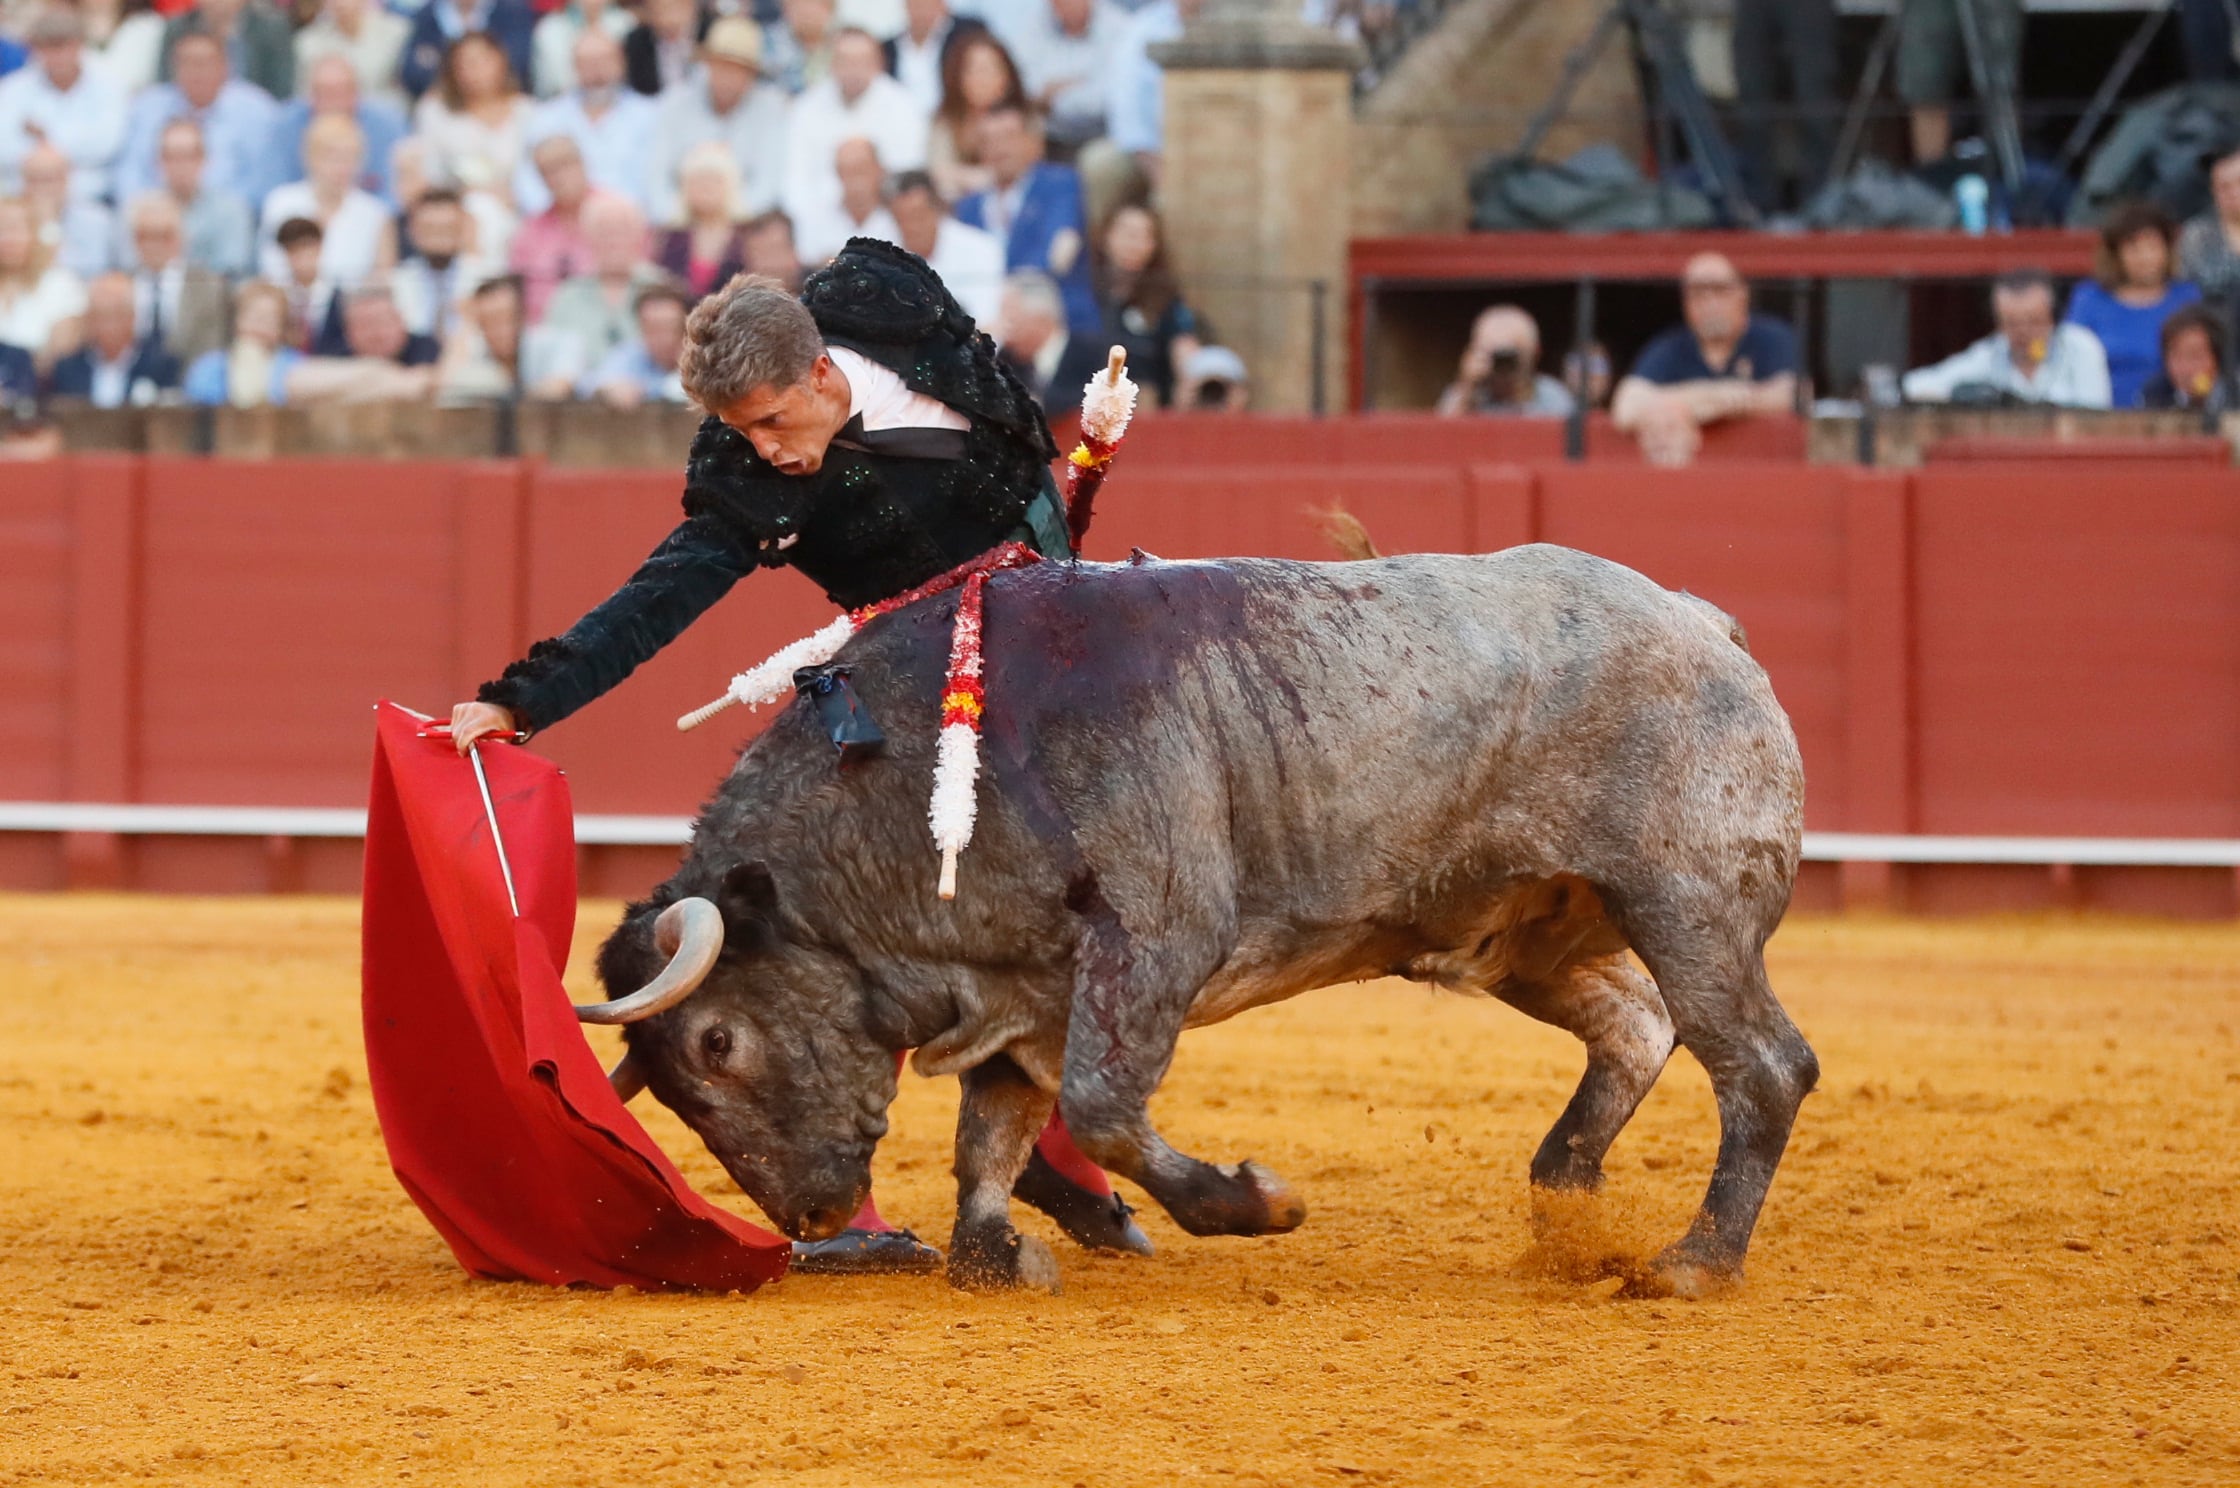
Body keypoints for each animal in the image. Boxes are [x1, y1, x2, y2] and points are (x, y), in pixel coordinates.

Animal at [591, 540, 1818, 1299]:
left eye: (717, 1041)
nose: (812, 1217)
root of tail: (1702, 620)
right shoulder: (1026, 985)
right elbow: (993, 1127)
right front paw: (995, 1254)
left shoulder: (1153, 940)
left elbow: (1097, 1109)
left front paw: (1253, 1202)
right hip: (1527, 932)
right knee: (1638, 1027)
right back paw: (1565, 1204)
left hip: (1688, 902)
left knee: (1762, 1064)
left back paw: (1693, 1261)